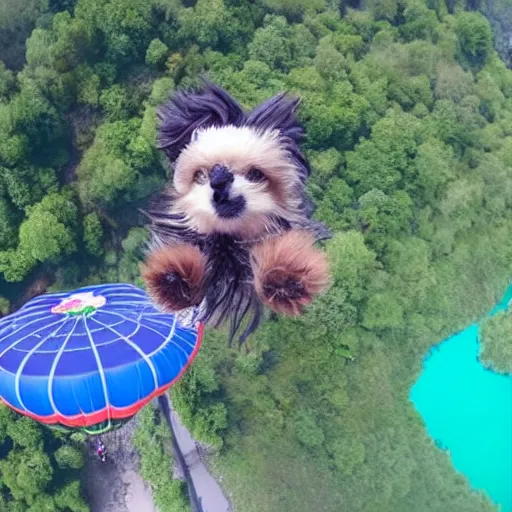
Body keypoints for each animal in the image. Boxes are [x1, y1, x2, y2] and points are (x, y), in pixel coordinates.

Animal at [141, 80, 332, 344]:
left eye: (255, 173)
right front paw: (175, 279)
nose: (220, 179)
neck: (229, 239)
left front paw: (285, 278)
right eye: (202, 174)